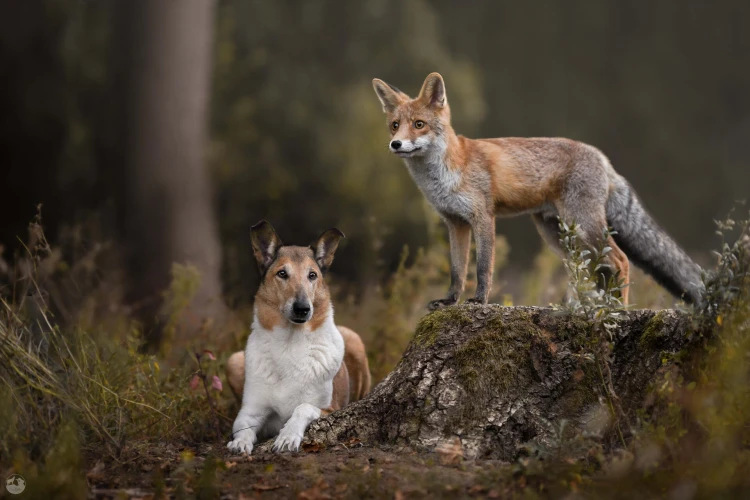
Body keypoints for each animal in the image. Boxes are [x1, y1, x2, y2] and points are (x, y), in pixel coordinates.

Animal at [228, 221, 372, 456]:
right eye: (282, 273)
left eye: (312, 275)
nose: (303, 309)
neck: (289, 343)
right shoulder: (252, 411)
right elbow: (242, 427)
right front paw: (239, 443)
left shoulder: (330, 408)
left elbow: (302, 407)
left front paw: (287, 436)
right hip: (233, 360)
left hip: (354, 340)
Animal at [374, 72, 708, 306]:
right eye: (395, 125)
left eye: (419, 124)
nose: (396, 144)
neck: (444, 175)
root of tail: (602, 157)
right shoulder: (455, 223)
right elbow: (457, 270)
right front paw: (449, 301)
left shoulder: (483, 218)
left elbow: (483, 268)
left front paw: (479, 301)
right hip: (559, 235)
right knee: (589, 271)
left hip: (583, 228)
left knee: (620, 261)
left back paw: (619, 311)